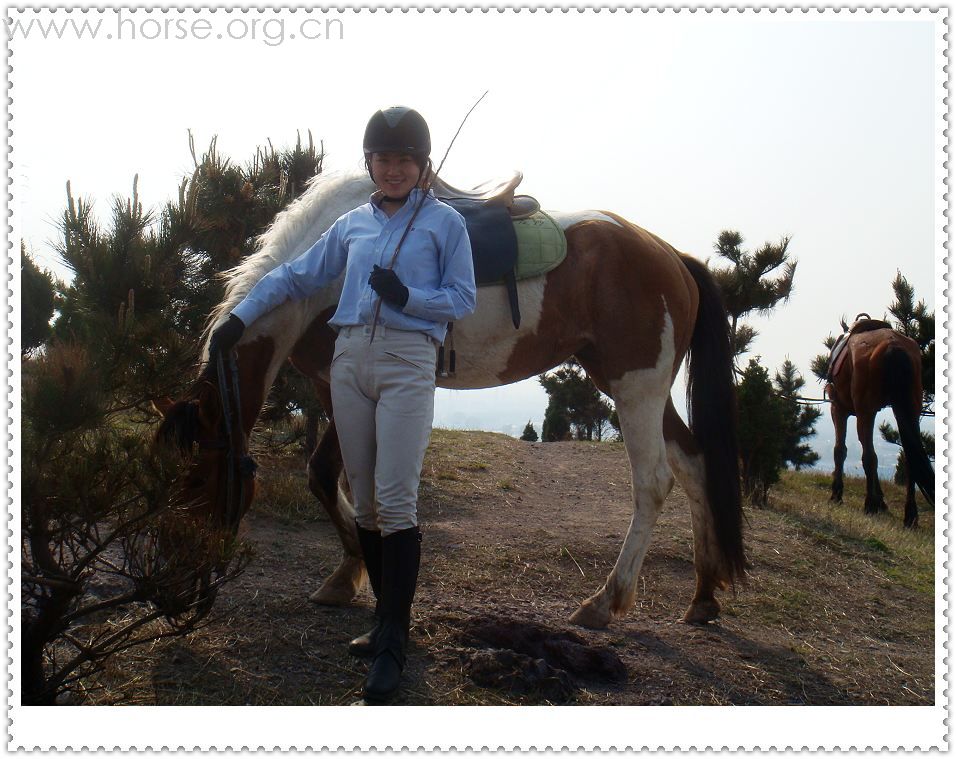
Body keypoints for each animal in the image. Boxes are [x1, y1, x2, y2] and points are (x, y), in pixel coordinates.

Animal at [159, 171, 748, 628]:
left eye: (198, 482)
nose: (172, 596)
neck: (328, 269)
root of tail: (671, 256)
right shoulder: (335, 386)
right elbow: (330, 478)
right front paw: (346, 576)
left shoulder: (343, 382)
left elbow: (332, 475)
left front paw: (353, 575)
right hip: (636, 386)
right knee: (694, 466)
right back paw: (702, 598)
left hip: (635, 388)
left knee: (653, 483)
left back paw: (604, 603)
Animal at [828, 320, 932, 528]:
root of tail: (893, 345)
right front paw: (881, 501)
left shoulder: (838, 408)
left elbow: (840, 450)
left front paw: (837, 494)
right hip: (909, 409)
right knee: (909, 459)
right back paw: (910, 515)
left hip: (864, 411)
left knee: (869, 456)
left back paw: (869, 504)